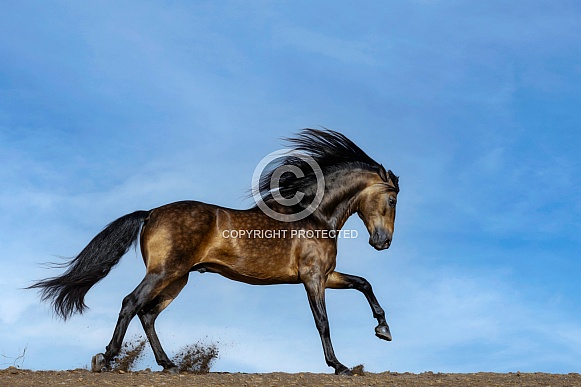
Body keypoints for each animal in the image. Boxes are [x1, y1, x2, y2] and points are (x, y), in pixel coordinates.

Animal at [28, 130, 398, 376]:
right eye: (393, 199)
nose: (383, 242)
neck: (314, 216)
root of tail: (151, 213)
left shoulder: (327, 275)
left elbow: (364, 283)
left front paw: (383, 330)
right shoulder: (312, 278)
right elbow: (323, 321)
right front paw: (340, 366)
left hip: (178, 279)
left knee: (148, 313)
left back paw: (169, 364)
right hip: (165, 272)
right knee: (131, 303)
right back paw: (106, 360)